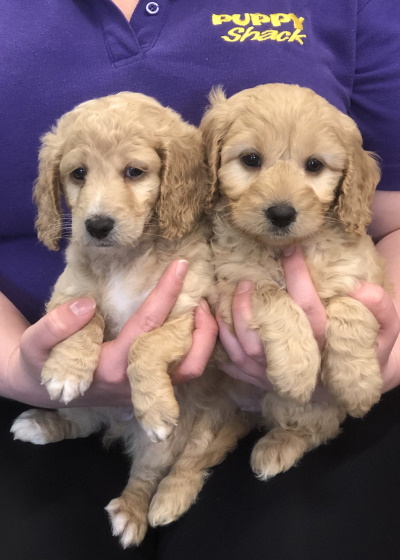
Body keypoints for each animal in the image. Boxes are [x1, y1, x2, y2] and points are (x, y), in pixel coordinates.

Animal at [10, 93, 248, 548]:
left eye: (134, 172)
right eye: (78, 174)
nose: (97, 225)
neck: (124, 259)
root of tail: (116, 427)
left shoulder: (191, 313)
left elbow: (145, 342)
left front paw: (152, 407)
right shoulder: (66, 294)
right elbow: (86, 315)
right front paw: (68, 368)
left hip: (174, 441)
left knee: (154, 473)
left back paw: (136, 511)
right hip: (89, 406)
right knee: (79, 424)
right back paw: (43, 424)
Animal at [202, 83, 386, 482]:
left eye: (314, 165)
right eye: (251, 160)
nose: (282, 213)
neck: (283, 250)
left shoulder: (362, 276)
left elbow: (350, 306)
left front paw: (359, 382)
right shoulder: (229, 287)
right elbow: (272, 295)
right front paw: (298, 368)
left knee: (315, 429)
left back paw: (277, 447)